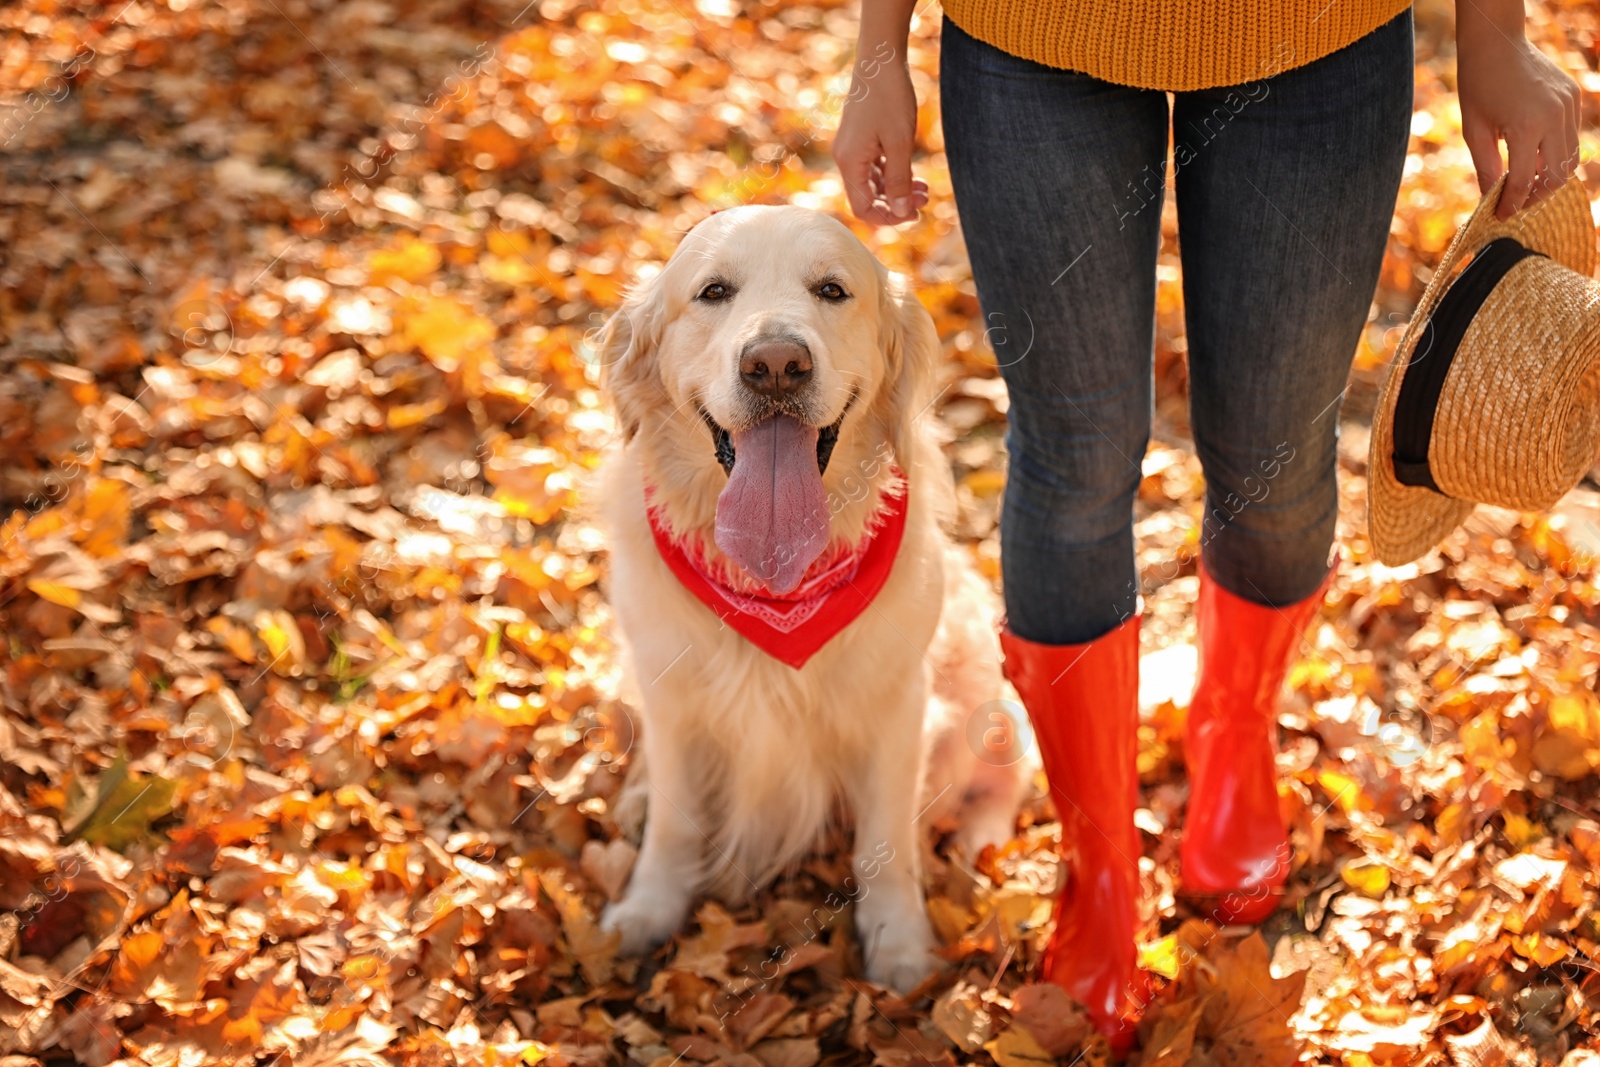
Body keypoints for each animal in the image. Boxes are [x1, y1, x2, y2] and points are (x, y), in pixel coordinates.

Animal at [598, 206, 1024, 991]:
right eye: (713, 291)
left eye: (832, 289)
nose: (774, 364)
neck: (775, 584)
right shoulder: (670, 697)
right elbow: (677, 819)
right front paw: (649, 909)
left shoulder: (899, 705)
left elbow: (887, 840)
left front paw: (900, 943)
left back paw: (978, 842)